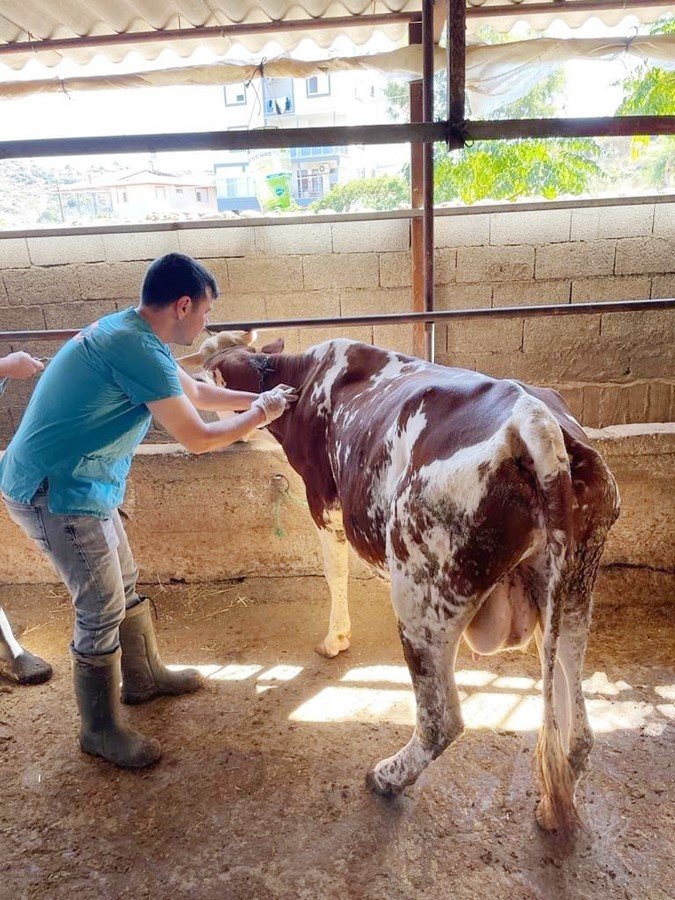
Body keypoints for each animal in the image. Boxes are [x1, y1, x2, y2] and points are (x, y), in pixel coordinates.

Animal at [193, 334, 620, 832]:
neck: (305, 376)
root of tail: (534, 420)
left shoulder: (323, 498)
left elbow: (333, 571)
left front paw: (335, 639)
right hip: (574, 583)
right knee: (578, 713)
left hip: (422, 596)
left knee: (440, 721)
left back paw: (386, 777)